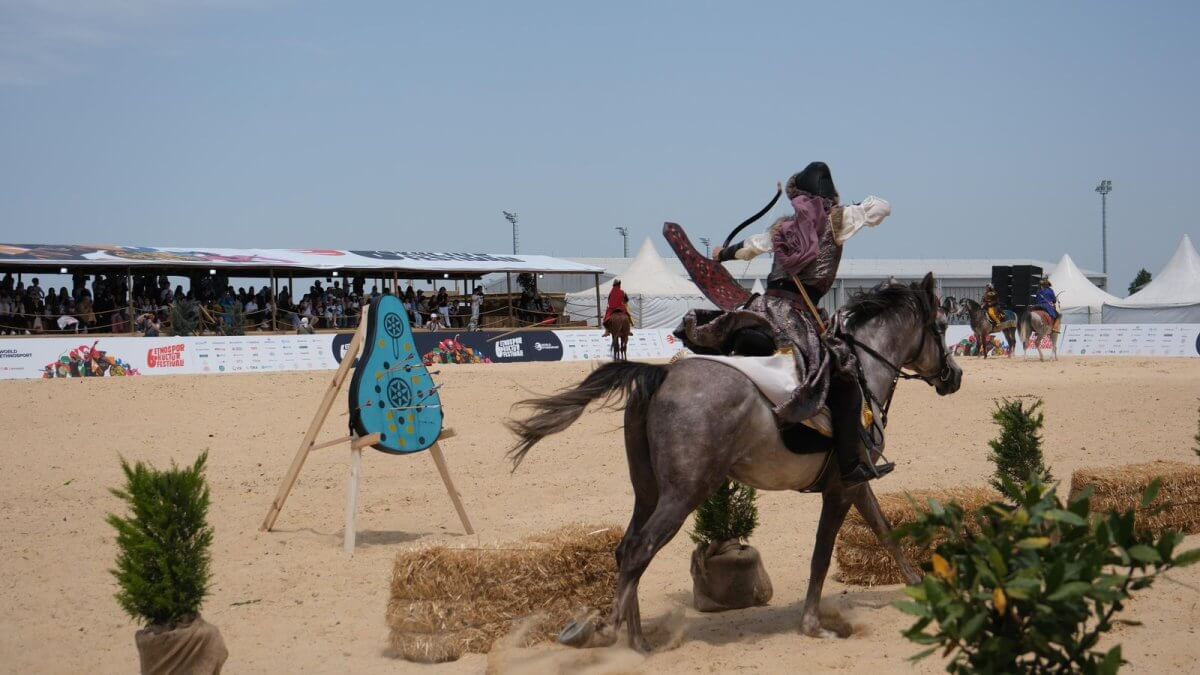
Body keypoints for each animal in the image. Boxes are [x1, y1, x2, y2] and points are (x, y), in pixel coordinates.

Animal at [506, 270, 964, 648]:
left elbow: (885, 530)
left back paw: (638, 642)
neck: (863, 367)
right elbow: (822, 553)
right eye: (941, 327)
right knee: (638, 550)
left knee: (626, 551)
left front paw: (919, 586)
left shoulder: (854, 483)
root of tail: (662, 375)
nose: (954, 376)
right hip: (683, 494)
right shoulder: (841, 487)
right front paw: (813, 624)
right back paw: (609, 634)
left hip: (649, 492)